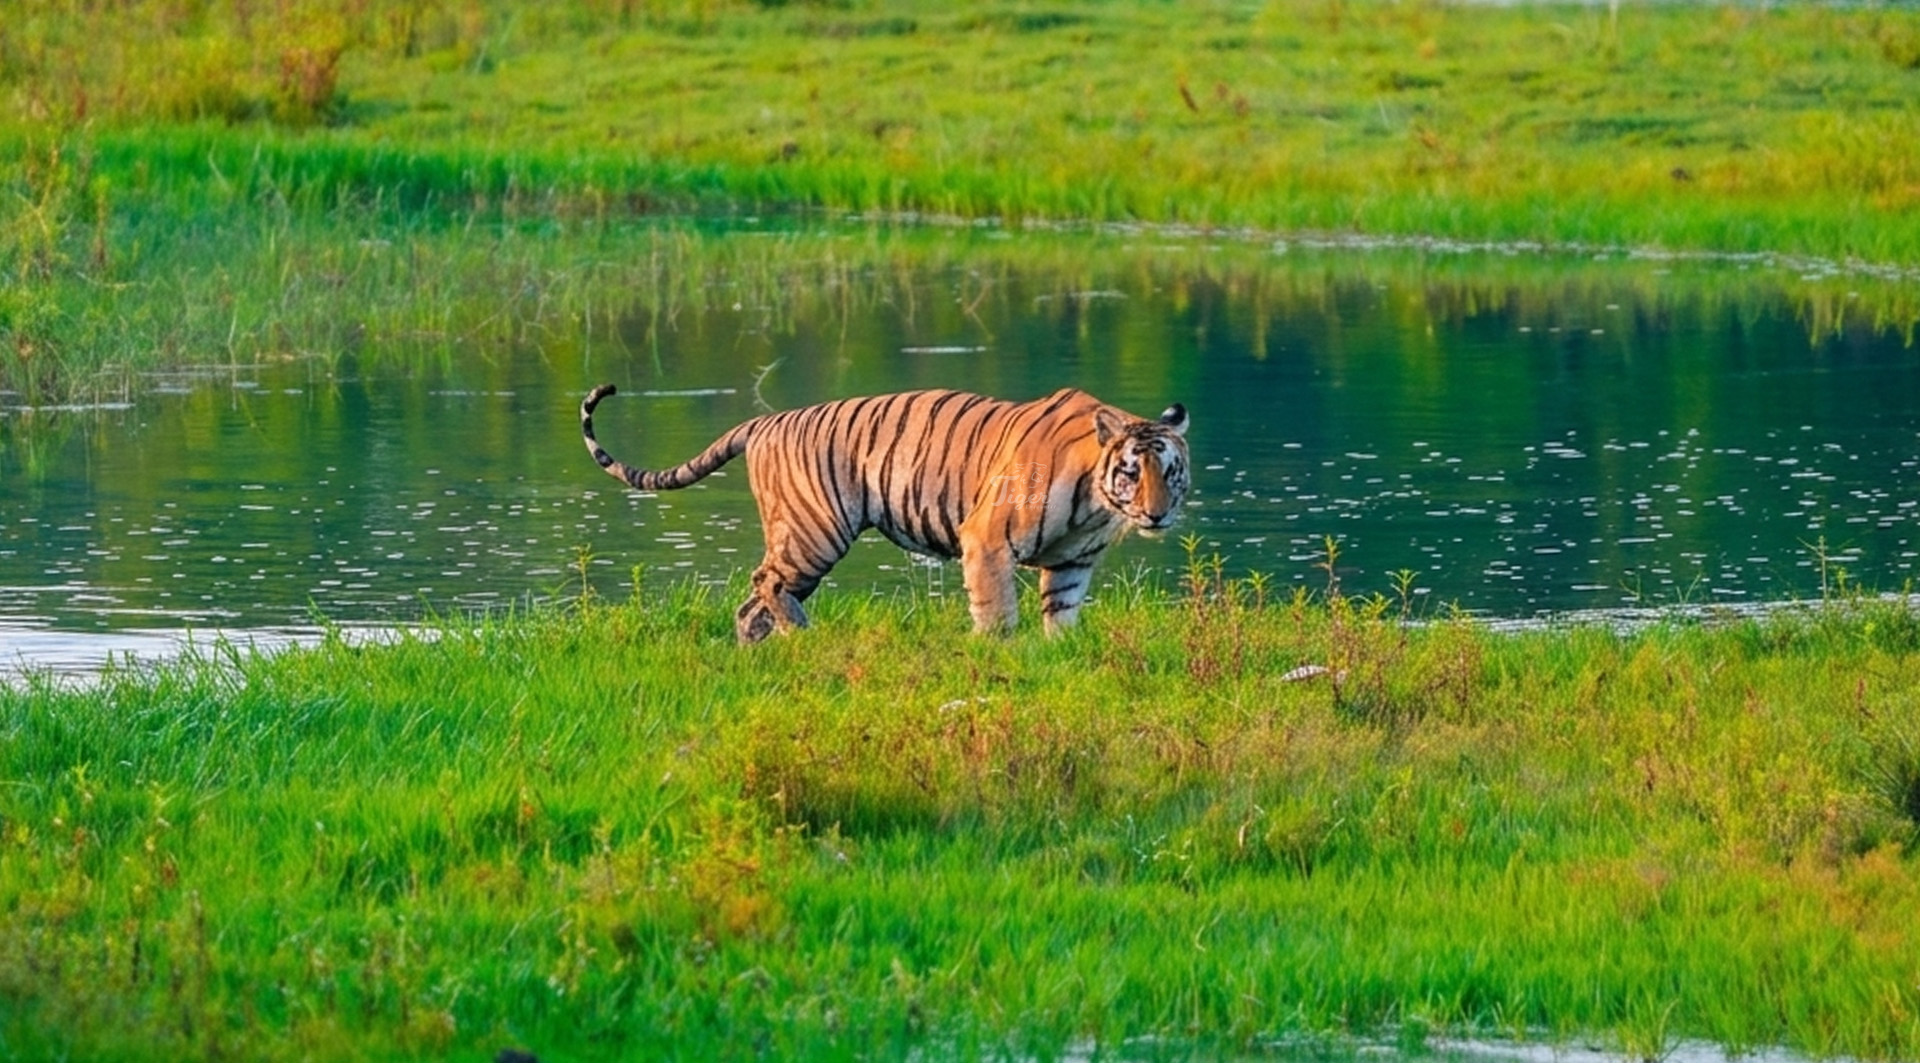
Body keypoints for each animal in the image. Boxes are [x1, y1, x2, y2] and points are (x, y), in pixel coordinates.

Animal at [580, 384, 1191, 643]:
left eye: (1171, 472)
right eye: (1131, 472)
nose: (1157, 516)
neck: (1096, 501)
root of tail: (765, 420)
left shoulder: (1071, 563)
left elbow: (1061, 618)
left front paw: (1058, 653)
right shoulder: (987, 539)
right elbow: (997, 611)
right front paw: (997, 651)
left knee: (751, 604)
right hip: (814, 533)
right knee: (764, 584)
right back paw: (803, 637)